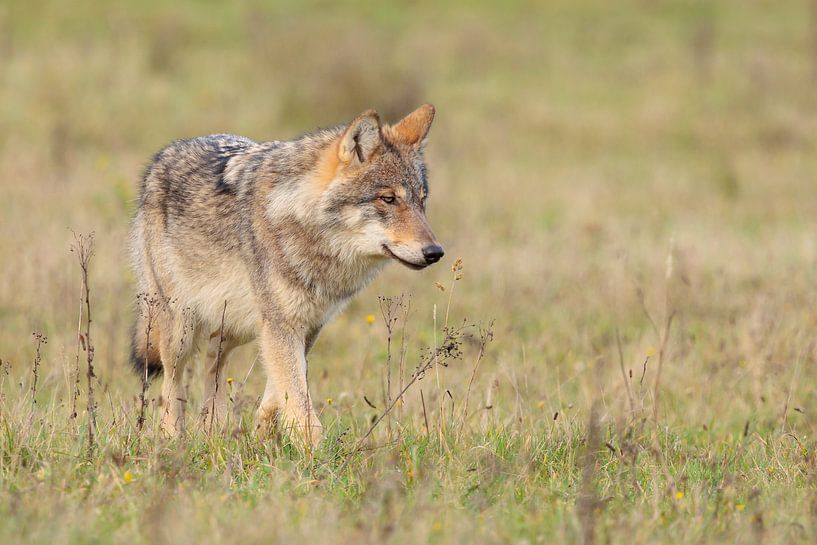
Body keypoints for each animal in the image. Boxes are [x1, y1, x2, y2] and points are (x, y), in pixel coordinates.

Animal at [129, 104, 443, 445]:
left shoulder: (306, 327)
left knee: (213, 358)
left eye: (422, 200)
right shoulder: (281, 325)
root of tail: (164, 154)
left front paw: (263, 432)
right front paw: (314, 453)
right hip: (182, 328)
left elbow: (282, 389)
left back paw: (214, 429)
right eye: (388, 199)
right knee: (170, 383)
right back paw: (172, 438)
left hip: (240, 323)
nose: (435, 252)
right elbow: (298, 400)